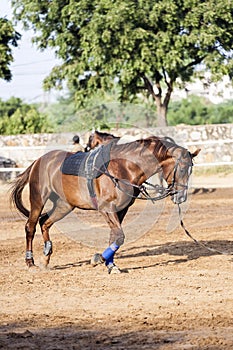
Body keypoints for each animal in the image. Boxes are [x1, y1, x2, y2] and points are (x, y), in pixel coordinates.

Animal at [10, 137, 200, 274]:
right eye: (183, 168)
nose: (181, 197)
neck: (124, 168)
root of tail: (38, 161)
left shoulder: (121, 210)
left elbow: (115, 237)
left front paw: (110, 264)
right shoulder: (107, 208)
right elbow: (119, 237)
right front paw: (98, 259)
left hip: (65, 205)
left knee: (45, 222)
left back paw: (46, 257)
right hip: (38, 199)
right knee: (30, 227)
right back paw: (30, 262)